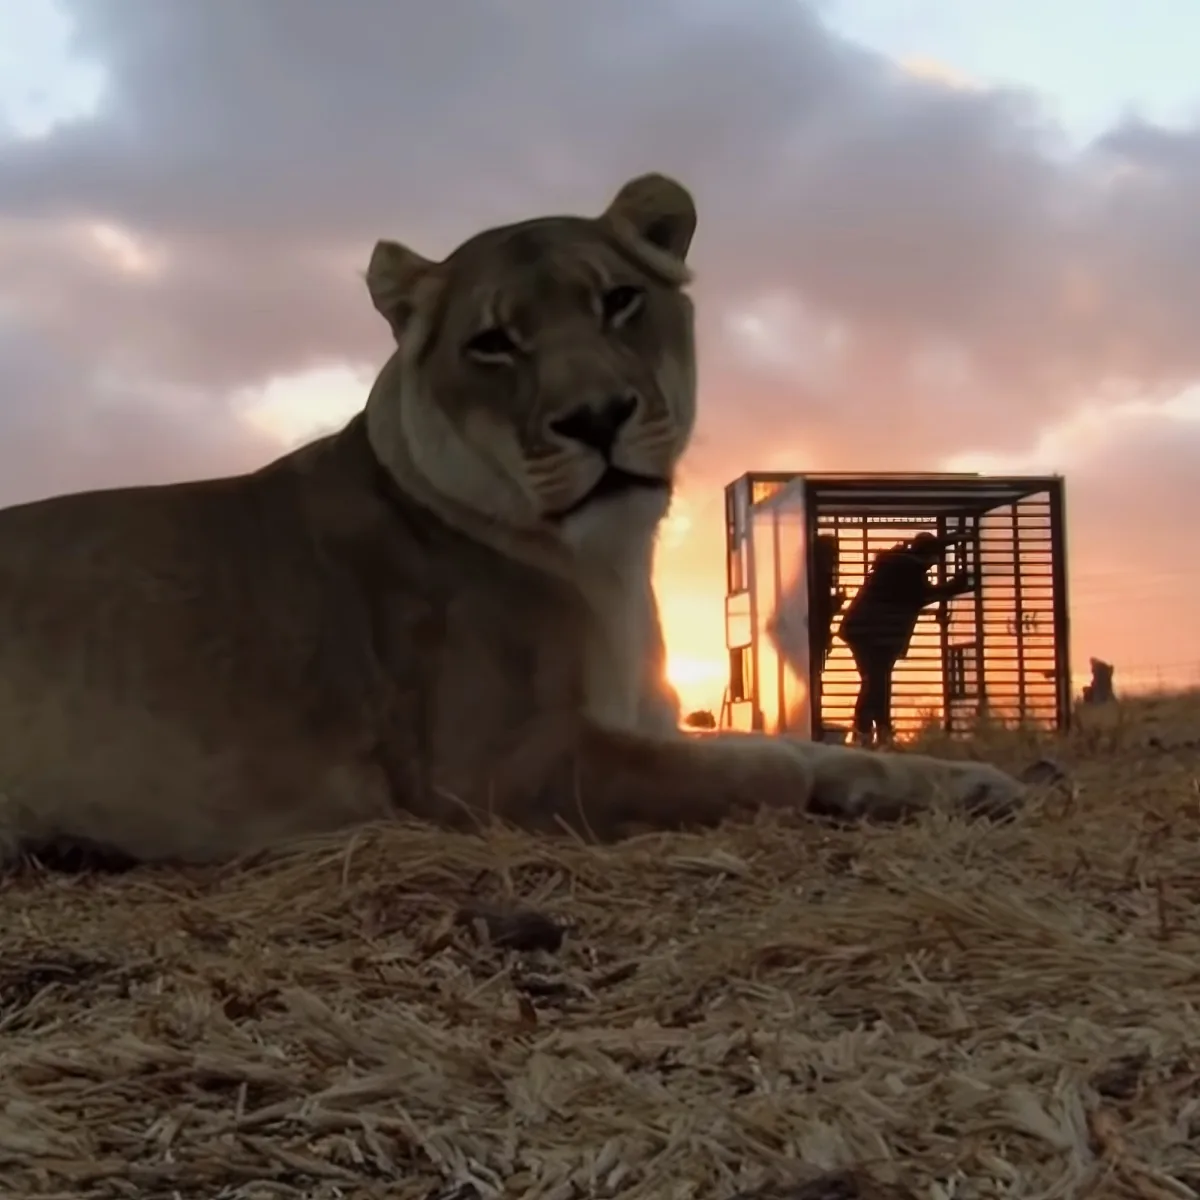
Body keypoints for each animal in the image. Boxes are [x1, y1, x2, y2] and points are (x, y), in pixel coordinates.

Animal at [0, 172, 1023, 867]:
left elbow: (792, 741)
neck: (610, 567)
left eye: (620, 300)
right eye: (492, 344)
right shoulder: (499, 766)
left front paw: (966, 782)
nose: (597, 417)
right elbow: (758, 767)